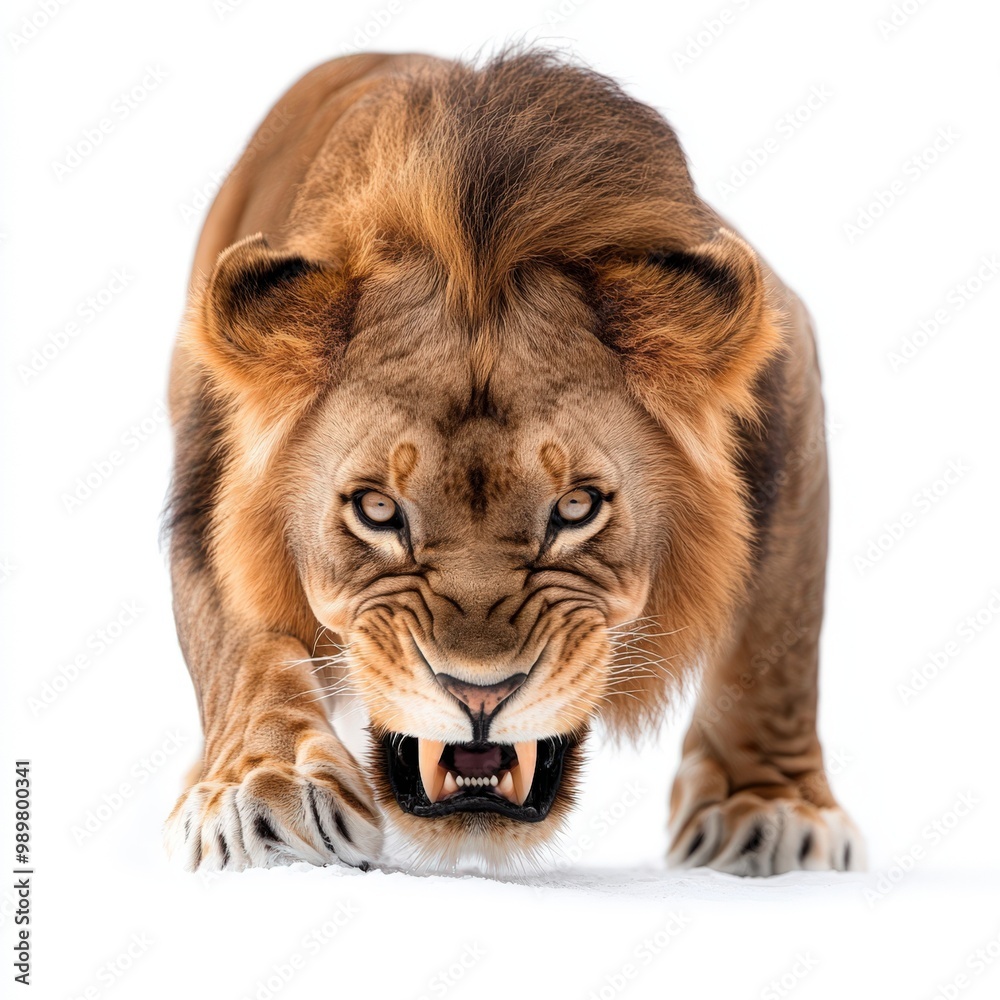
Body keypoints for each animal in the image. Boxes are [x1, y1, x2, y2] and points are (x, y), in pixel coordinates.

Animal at [163, 49, 863, 876]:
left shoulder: (789, 372)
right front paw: (259, 788)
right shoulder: (207, 479)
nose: (479, 696)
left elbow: (777, 645)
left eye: (576, 507)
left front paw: (773, 809)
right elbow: (245, 649)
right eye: (377, 510)